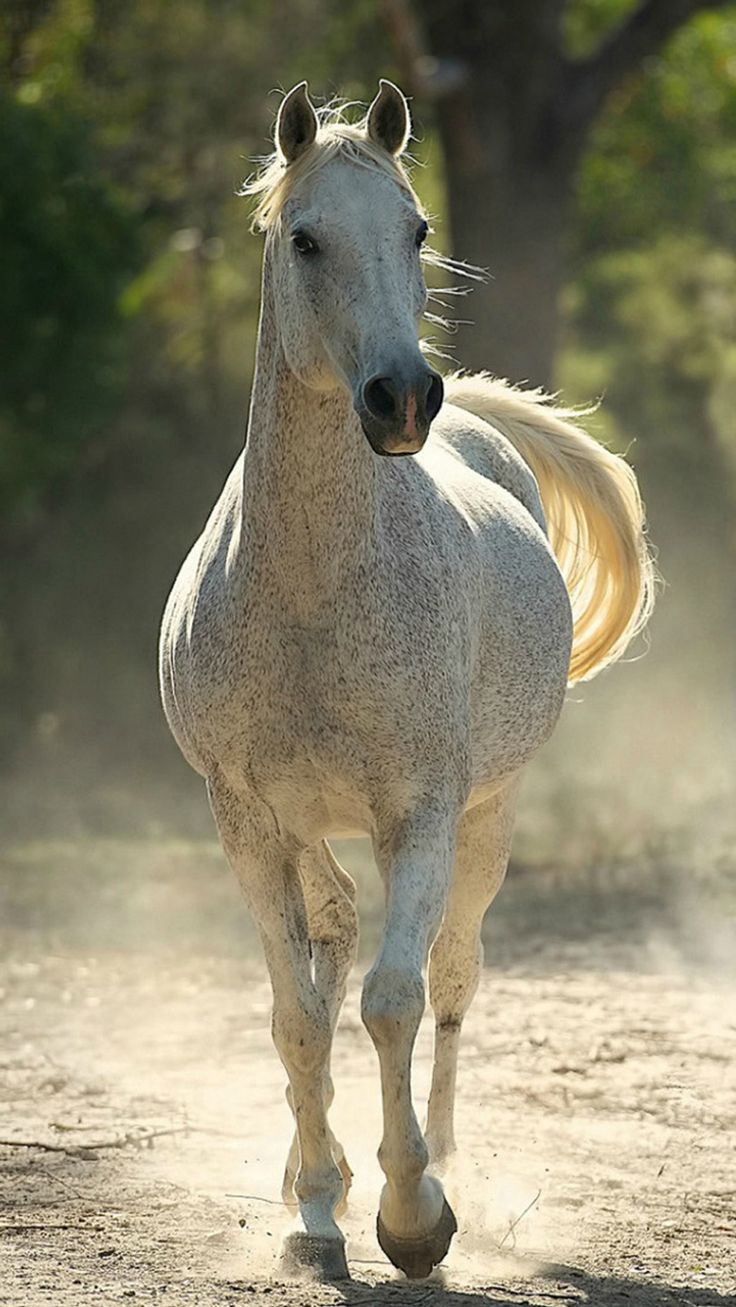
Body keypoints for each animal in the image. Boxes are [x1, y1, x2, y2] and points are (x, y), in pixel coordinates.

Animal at [159, 79, 654, 1281]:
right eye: (305, 238)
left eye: (417, 230)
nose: (400, 399)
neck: (310, 591)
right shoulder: (247, 820)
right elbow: (297, 1013)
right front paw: (318, 1209)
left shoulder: (420, 813)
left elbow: (395, 997)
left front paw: (414, 1213)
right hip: (306, 826)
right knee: (332, 937)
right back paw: (316, 1181)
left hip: (490, 816)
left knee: (454, 979)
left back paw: (447, 1169)